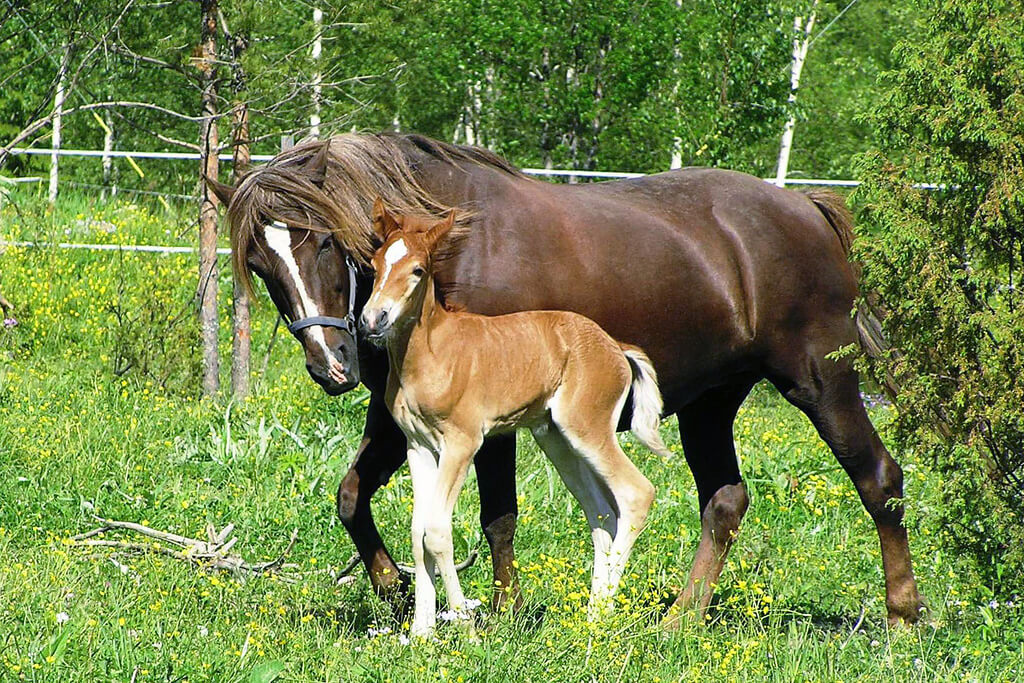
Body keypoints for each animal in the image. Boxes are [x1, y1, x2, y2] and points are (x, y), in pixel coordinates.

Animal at [362, 200, 671, 638]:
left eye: (418, 269)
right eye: (374, 265)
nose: (374, 319)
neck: (430, 354)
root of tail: (615, 345)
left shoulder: (463, 442)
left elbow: (436, 532)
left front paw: (465, 626)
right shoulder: (418, 446)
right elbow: (417, 532)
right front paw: (422, 633)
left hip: (588, 428)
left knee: (635, 493)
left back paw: (602, 617)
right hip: (556, 437)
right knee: (602, 514)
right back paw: (589, 616)